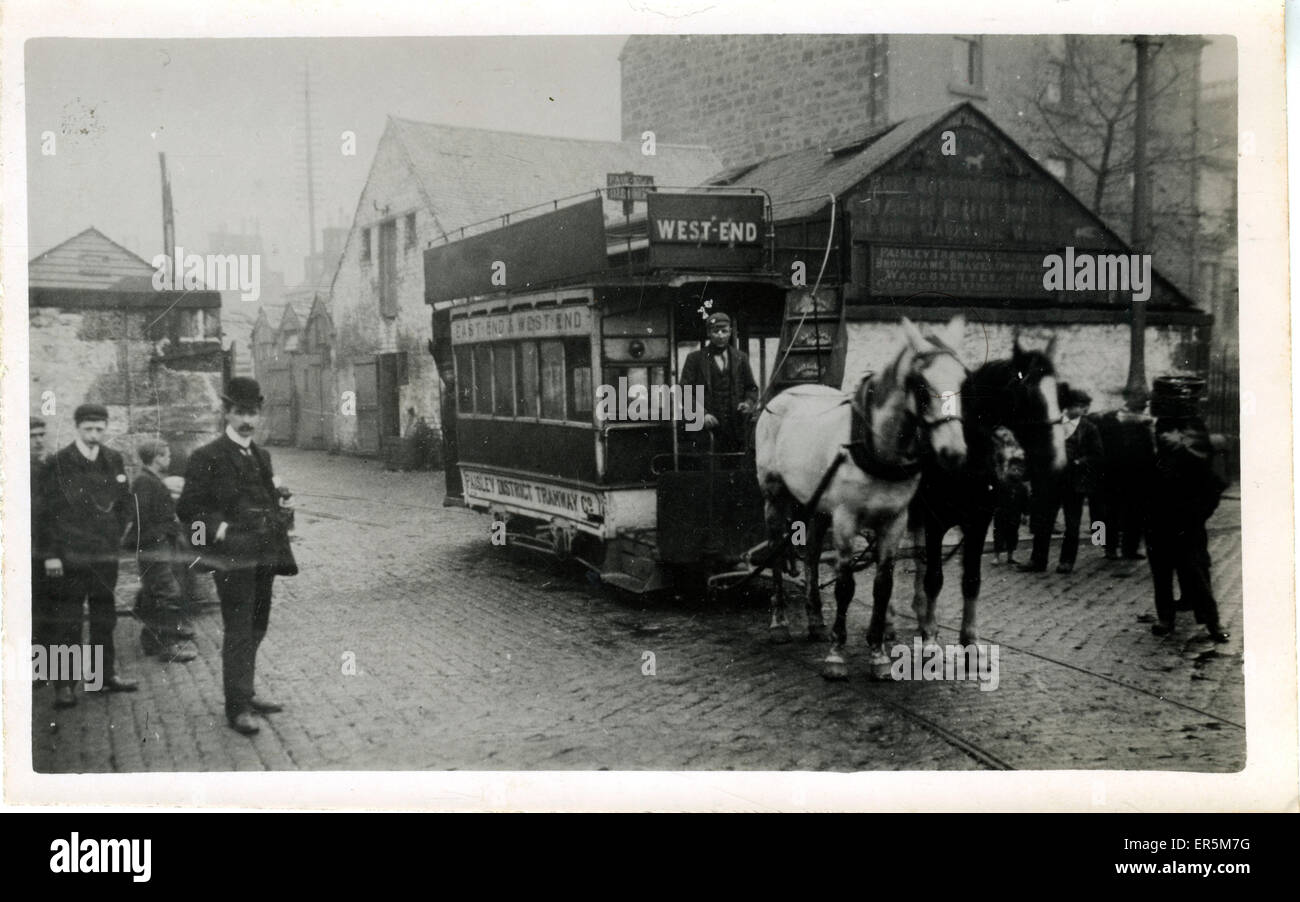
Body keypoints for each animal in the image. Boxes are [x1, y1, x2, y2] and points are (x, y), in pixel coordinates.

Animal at [759, 315, 972, 675]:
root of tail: (783, 395)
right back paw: (779, 624)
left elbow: (882, 587)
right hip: (775, 497)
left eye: (964, 381)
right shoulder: (846, 520)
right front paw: (836, 655)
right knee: (776, 553)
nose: (954, 452)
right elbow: (845, 586)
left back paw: (815, 621)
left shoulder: (894, 521)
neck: (877, 447)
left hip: (817, 505)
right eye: (921, 385)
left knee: (812, 556)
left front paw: (879, 654)